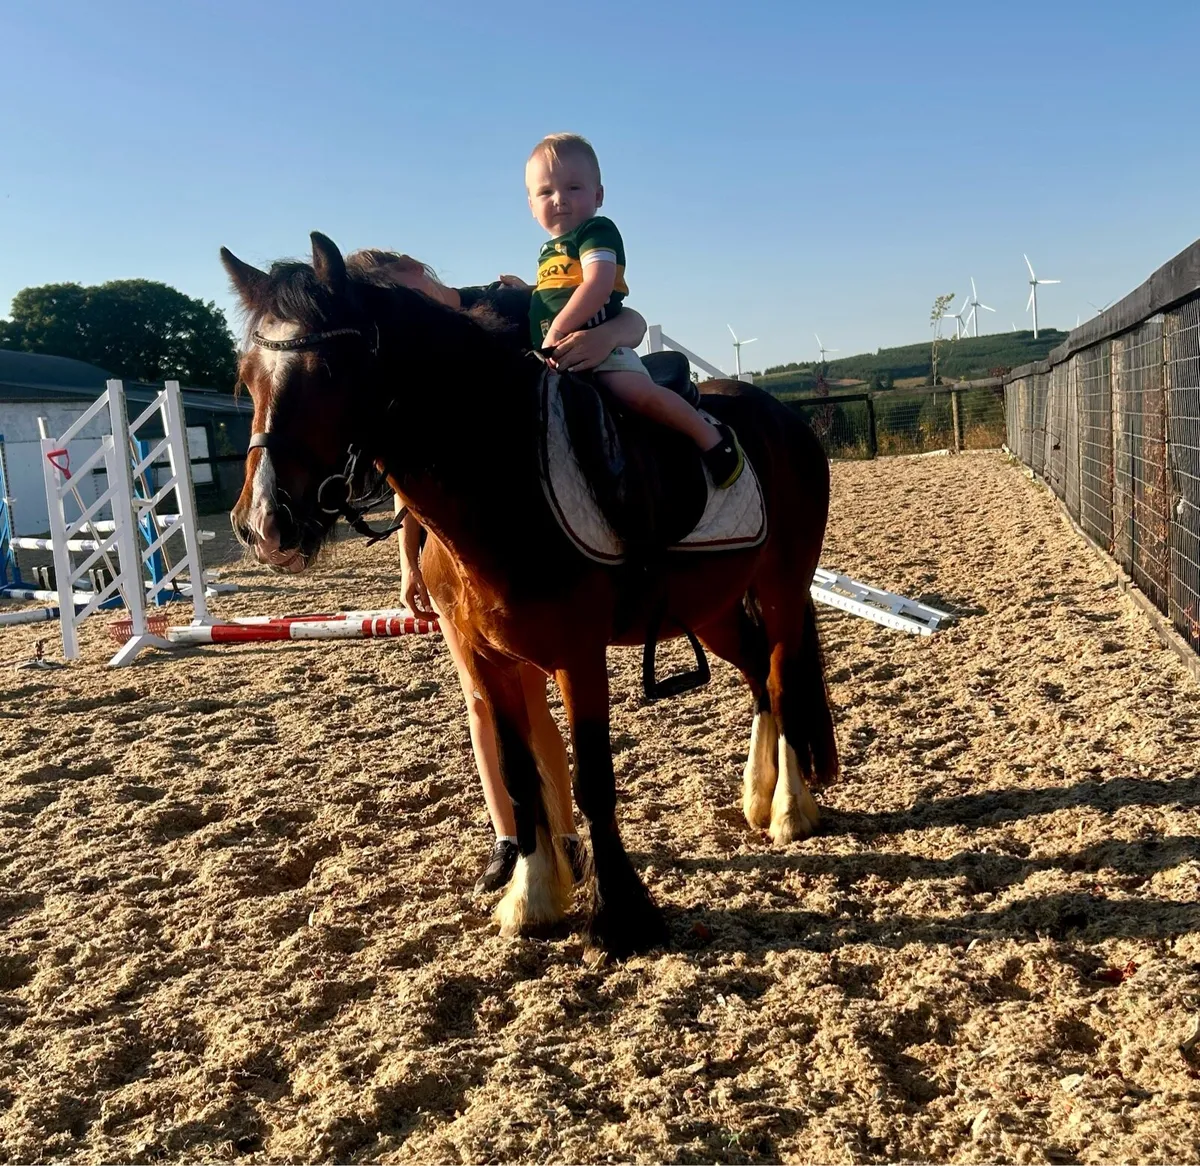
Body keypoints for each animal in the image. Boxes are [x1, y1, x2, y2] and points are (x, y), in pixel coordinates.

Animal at [222, 232, 838, 957]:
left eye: (328, 373)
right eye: (246, 378)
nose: (265, 524)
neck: (503, 475)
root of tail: (779, 415)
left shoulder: (580, 655)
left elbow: (593, 780)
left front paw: (621, 916)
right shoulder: (486, 658)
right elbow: (520, 778)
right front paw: (533, 897)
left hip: (782, 586)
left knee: (779, 676)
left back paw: (790, 809)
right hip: (713, 606)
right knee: (757, 675)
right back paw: (759, 795)